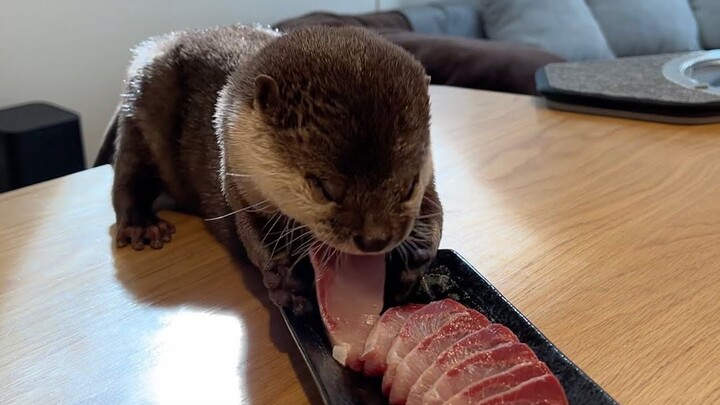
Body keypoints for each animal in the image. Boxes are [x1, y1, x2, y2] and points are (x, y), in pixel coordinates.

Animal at [95, 23, 444, 314]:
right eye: (325, 188)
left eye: (409, 185)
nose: (375, 240)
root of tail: (159, 44)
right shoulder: (237, 180)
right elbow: (250, 232)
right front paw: (284, 282)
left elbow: (435, 211)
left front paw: (415, 260)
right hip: (143, 105)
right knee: (128, 175)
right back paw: (142, 225)